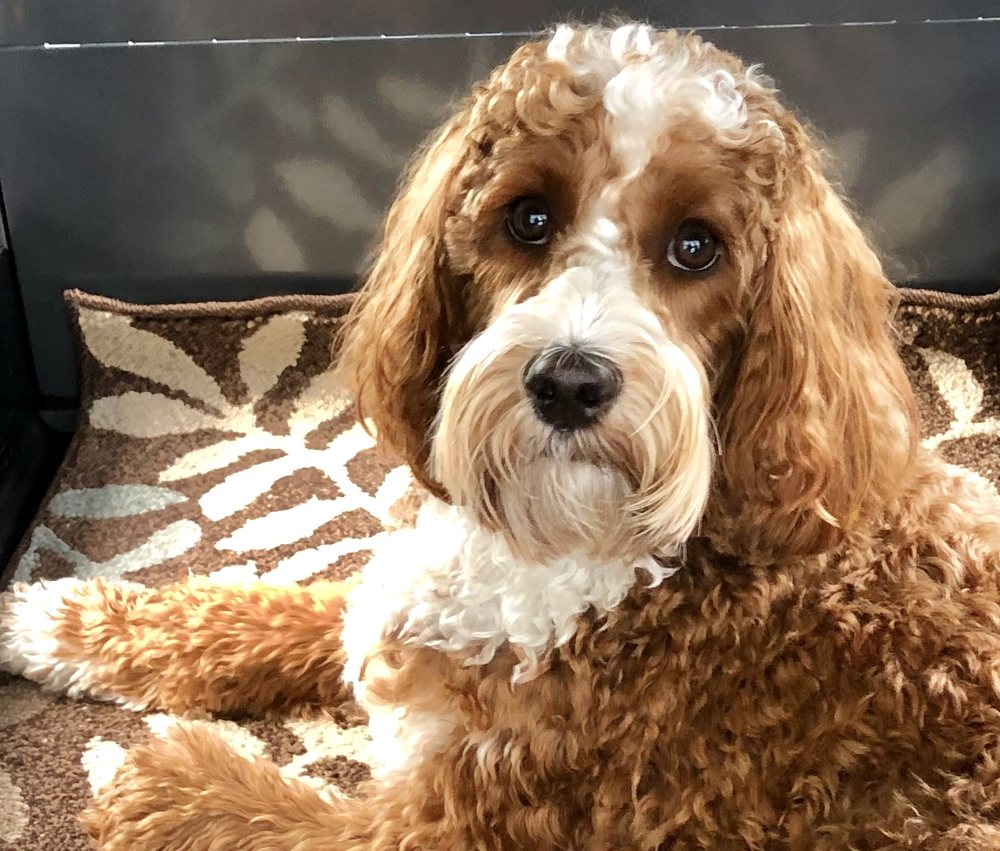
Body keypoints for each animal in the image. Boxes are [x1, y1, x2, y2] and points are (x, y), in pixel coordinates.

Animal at [4, 22, 1000, 850]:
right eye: (529, 217)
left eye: (696, 247)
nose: (570, 382)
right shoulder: (399, 605)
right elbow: (265, 608)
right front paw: (58, 620)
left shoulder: (443, 827)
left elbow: (239, 808)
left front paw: (136, 764)